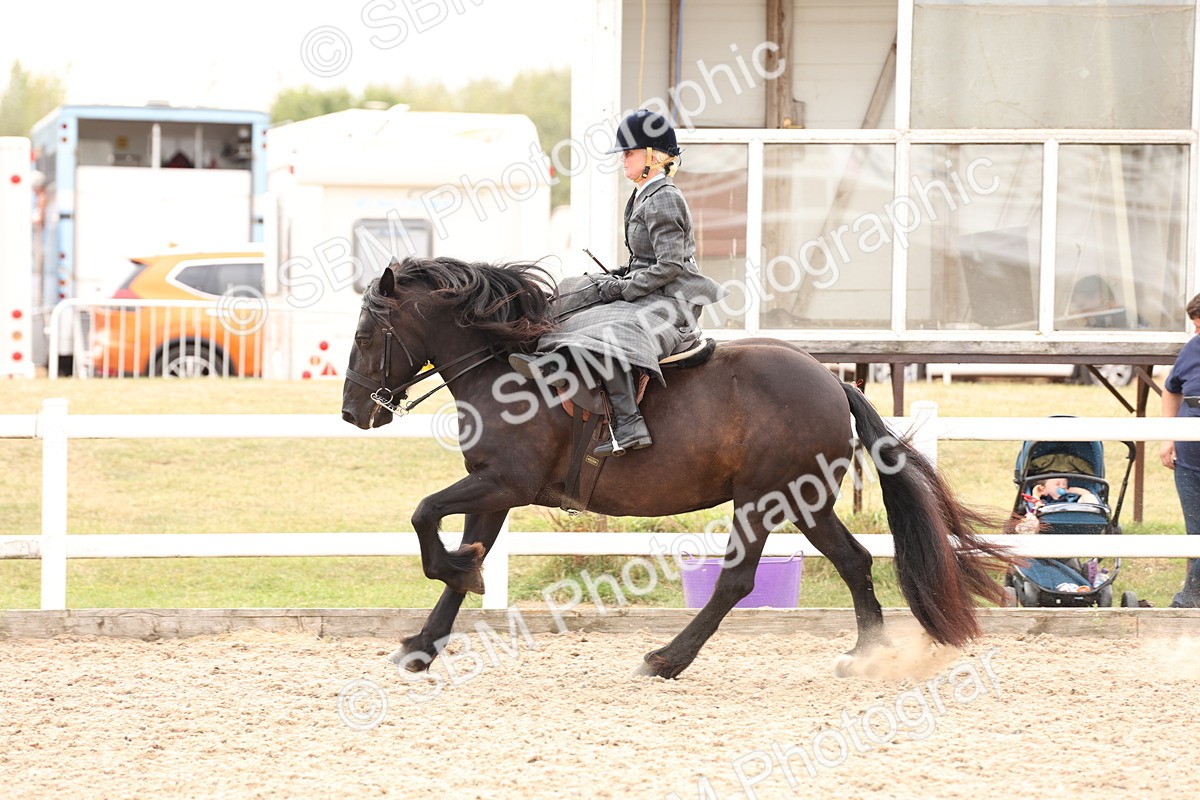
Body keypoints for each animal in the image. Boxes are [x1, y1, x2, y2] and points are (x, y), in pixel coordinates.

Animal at [340, 256, 1012, 679]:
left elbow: (425, 516)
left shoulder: (502, 482)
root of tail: (830, 380)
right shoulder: (494, 489)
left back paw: (666, 659)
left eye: (367, 334)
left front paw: (456, 578)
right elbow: (455, 558)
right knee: (854, 561)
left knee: (737, 581)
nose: (352, 411)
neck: (504, 369)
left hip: (763, 500)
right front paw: (425, 641)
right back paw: (867, 655)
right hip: (806, 501)